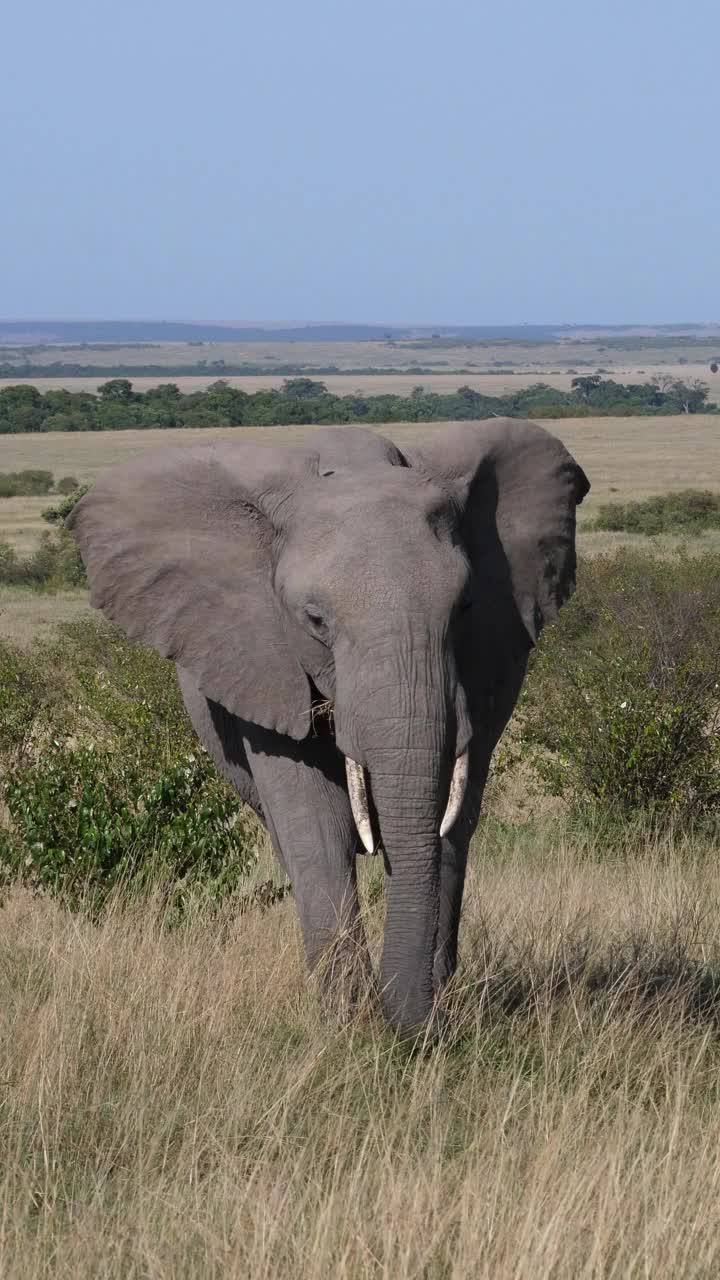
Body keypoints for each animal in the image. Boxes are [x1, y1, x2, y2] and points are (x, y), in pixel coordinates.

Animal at [67, 419, 586, 1039]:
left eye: (464, 607)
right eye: (314, 620)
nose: (406, 1030)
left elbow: (451, 820)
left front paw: (422, 1016)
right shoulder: (262, 656)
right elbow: (315, 822)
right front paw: (346, 1024)